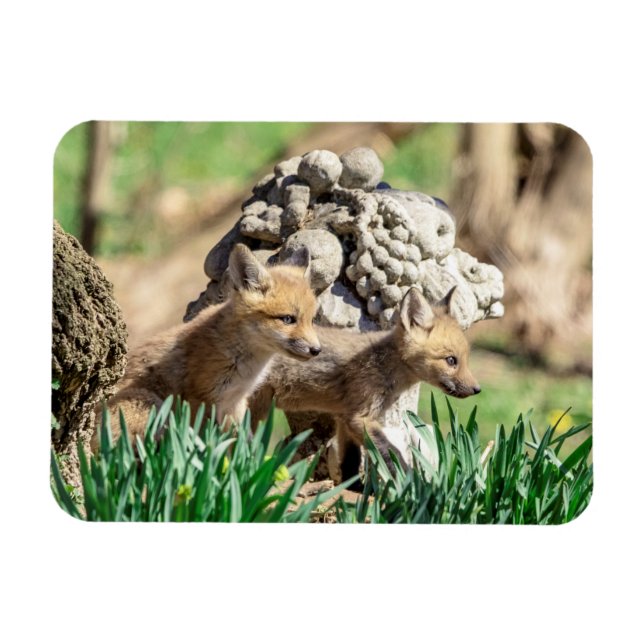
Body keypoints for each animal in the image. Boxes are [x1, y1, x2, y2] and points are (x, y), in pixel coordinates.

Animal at [91, 244, 321, 452]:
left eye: (311, 320)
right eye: (288, 319)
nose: (316, 350)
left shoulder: (235, 401)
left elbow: (239, 443)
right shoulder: (199, 399)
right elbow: (200, 440)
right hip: (150, 403)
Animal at [249, 286, 481, 484]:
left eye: (465, 360)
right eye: (451, 360)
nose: (477, 390)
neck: (385, 365)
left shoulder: (345, 416)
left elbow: (350, 461)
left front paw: (351, 488)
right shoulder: (360, 417)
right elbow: (391, 452)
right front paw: (412, 484)